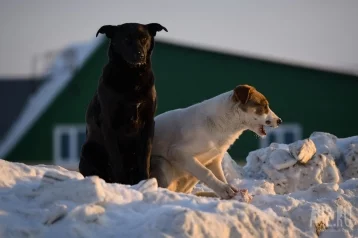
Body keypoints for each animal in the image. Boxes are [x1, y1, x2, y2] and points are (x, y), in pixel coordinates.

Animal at [78, 22, 168, 186]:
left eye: (144, 38)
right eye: (126, 39)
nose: (140, 55)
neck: (132, 77)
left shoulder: (148, 123)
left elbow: (144, 157)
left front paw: (145, 182)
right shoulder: (109, 124)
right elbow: (116, 159)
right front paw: (121, 184)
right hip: (89, 150)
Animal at [150, 84, 282, 200]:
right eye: (264, 106)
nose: (280, 121)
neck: (223, 124)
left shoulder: (214, 160)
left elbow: (220, 177)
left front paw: (230, 192)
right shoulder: (178, 152)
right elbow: (206, 172)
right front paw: (224, 190)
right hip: (162, 163)